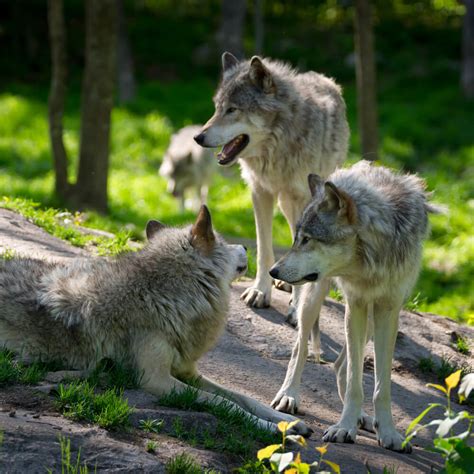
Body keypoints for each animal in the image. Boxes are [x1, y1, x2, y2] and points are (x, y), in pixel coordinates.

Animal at [194, 51, 350, 336]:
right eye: (217, 108)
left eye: (232, 110)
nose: (198, 137)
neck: (277, 149)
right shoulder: (260, 192)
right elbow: (264, 247)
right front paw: (260, 291)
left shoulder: (303, 200)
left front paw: (296, 309)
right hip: (285, 204)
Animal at [268, 162, 438, 452]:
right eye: (297, 239)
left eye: (308, 239)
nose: (273, 271)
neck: (371, 259)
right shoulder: (355, 303)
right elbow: (355, 385)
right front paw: (344, 428)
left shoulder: (388, 309)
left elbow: (382, 385)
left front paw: (388, 433)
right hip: (315, 299)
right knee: (301, 348)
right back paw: (288, 396)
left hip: (370, 320)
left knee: (339, 366)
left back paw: (363, 418)